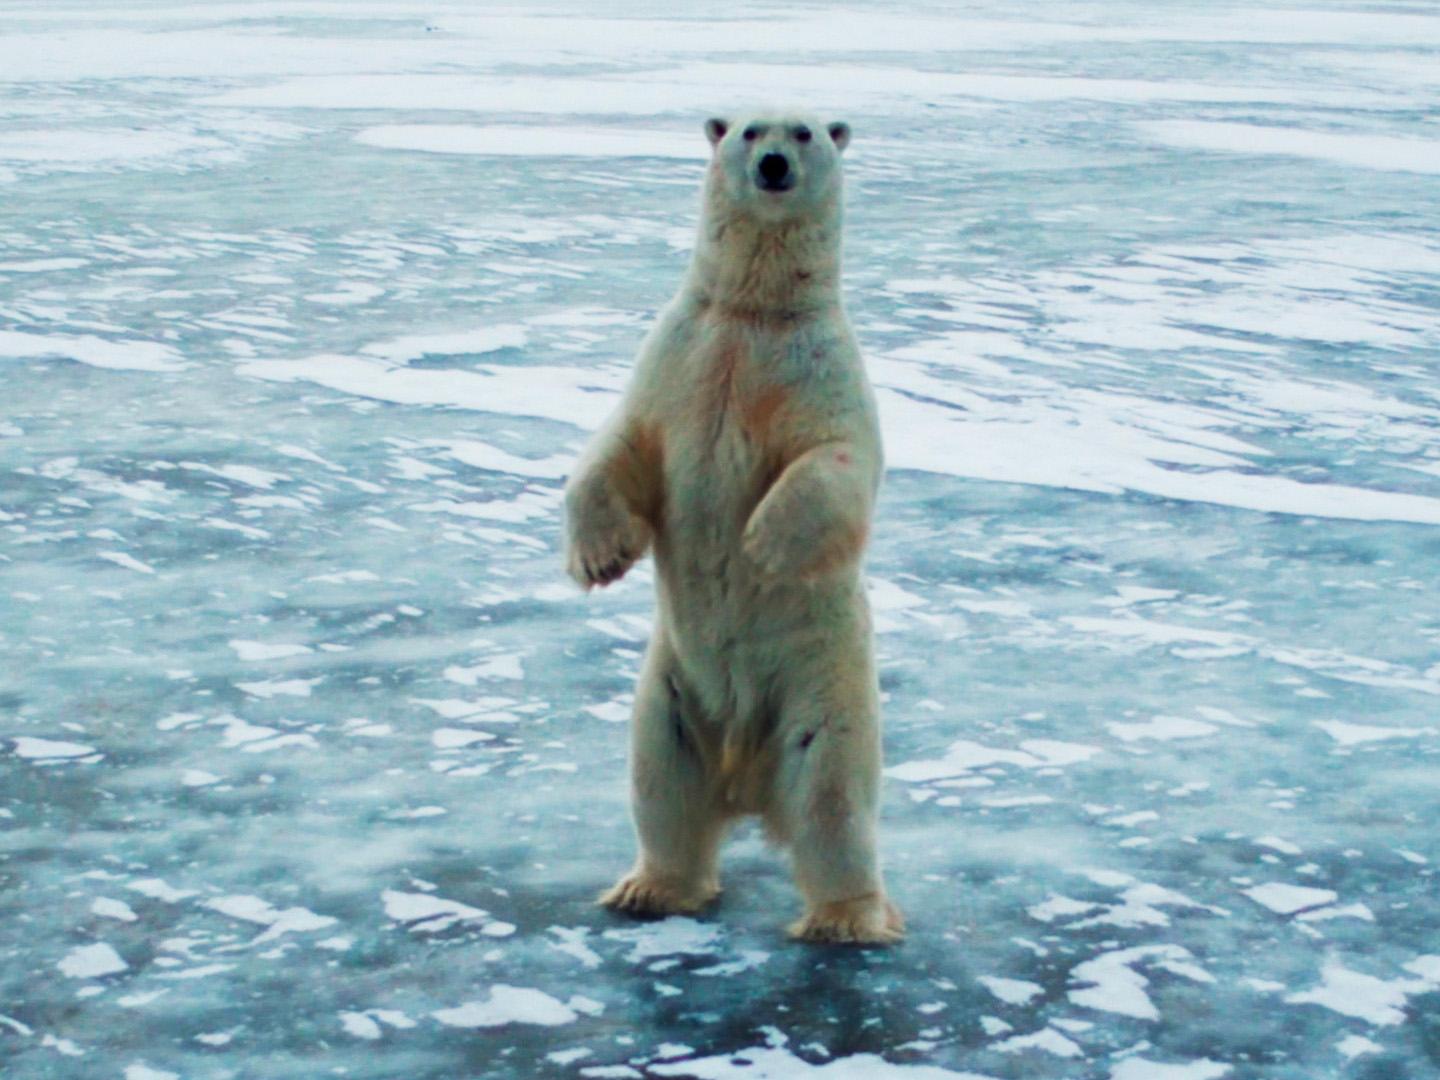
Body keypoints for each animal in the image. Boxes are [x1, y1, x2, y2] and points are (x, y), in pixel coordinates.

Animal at [561, 108, 898, 938]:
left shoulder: (819, 368)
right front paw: (598, 558)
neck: (753, 314)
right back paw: (649, 888)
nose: (774, 164)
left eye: (805, 132)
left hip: (824, 688)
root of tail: (746, 776)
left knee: (831, 799)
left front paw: (763, 544)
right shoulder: (679, 357)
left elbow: (836, 457)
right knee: (662, 784)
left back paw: (844, 919)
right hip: (671, 694)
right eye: (748, 129)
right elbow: (620, 446)